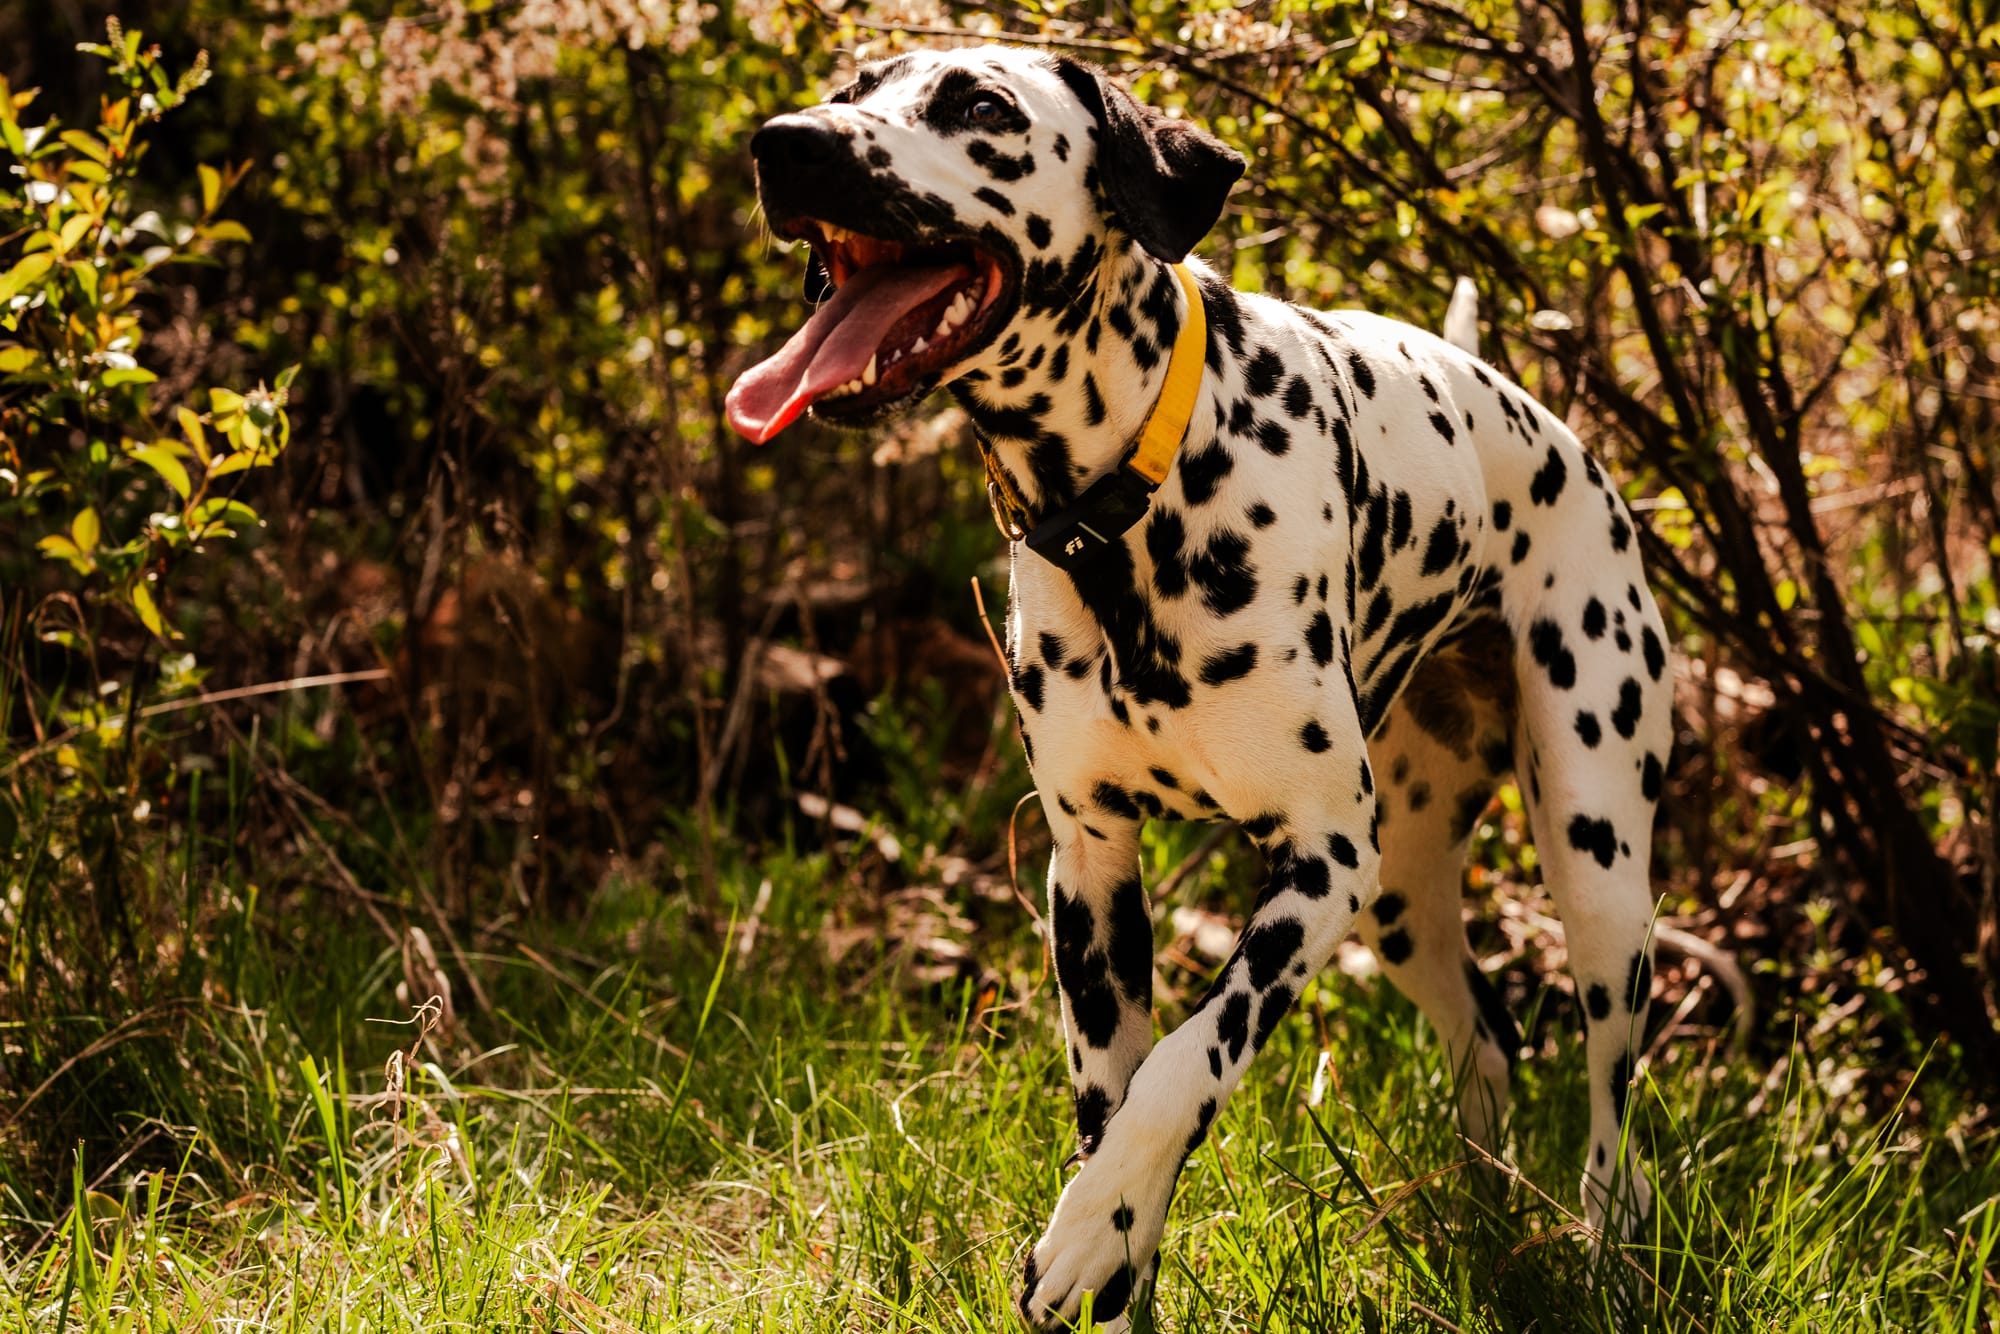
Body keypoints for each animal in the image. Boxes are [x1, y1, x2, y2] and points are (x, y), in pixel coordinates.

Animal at [728, 47, 1664, 1328]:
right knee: (1486, 1034)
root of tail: (1522, 407)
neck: (1127, 507)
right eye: (852, 84)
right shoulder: (1089, 876)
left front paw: (1090, 1229)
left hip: (1593, 859)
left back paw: (1606, 1251)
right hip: (1401, 893)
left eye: (979, 105)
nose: (784, 142)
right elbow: (1110, 1104)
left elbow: (1186, 1059)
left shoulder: (1317, 861)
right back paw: (1478, 1211)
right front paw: (1111, 1245)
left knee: (1613, 1102)